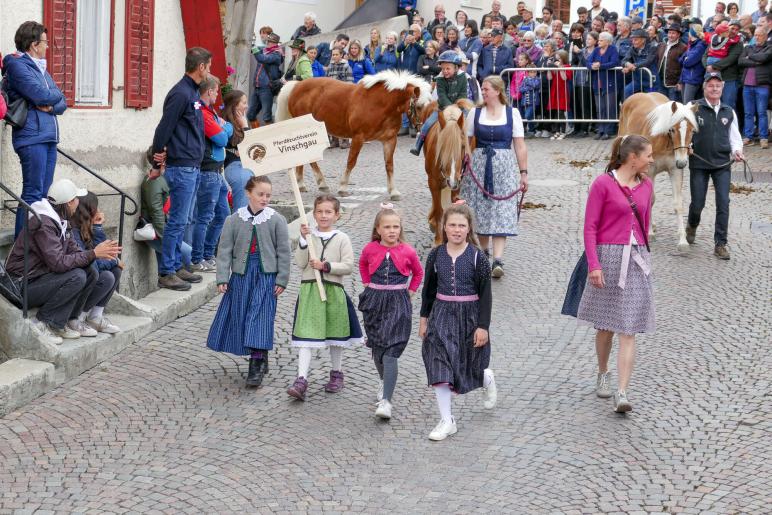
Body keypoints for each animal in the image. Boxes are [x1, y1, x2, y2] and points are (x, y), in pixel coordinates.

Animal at [276, 71, 434, 201]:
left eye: (431, 105)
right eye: (418, 106)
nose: (424, 128)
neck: (380, 103)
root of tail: (296, 85)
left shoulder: (390, 140)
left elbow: (389, 165)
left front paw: (393, 191)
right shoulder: (358, 138)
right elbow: (351, 161)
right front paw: (343, 188)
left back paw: (302, 183)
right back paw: (321, 183)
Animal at [420, 101, 474, 246]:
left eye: (462, 146)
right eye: (442, 147)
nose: (452, 181)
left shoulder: (459, 180)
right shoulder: (433, 181)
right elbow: (439, 210)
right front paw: (438, 239)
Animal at [620, 94, 696, 254]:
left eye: (692, 131)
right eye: (672, 130)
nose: (682, 162)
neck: (665, 140)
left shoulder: (675, 170)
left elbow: (678, 204)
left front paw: (682, 240)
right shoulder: (650, 171)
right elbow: (649, 200)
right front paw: (649, 233)